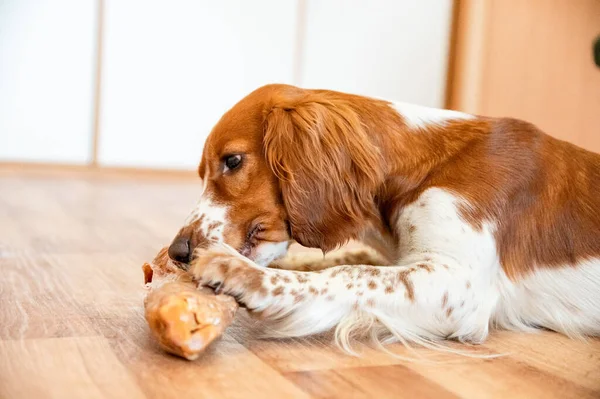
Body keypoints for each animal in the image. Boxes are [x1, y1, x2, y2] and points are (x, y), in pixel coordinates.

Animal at [165, 84, 600, 350]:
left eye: (233, 161)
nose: (177, 251)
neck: (423, 167)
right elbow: (345, 260)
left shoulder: (461, 283)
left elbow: (346, 273)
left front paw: (238, 272)